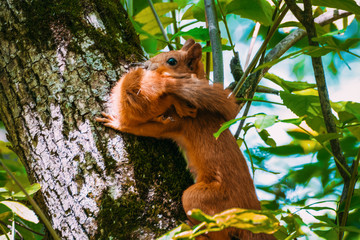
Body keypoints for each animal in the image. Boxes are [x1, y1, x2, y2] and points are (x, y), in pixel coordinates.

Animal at [96, 39, 276, 240]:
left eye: (172, 61)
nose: (146, 65)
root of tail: (249, 210)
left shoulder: (179, 122)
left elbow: (147, 129)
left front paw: (117, 123)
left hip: (202, 200)